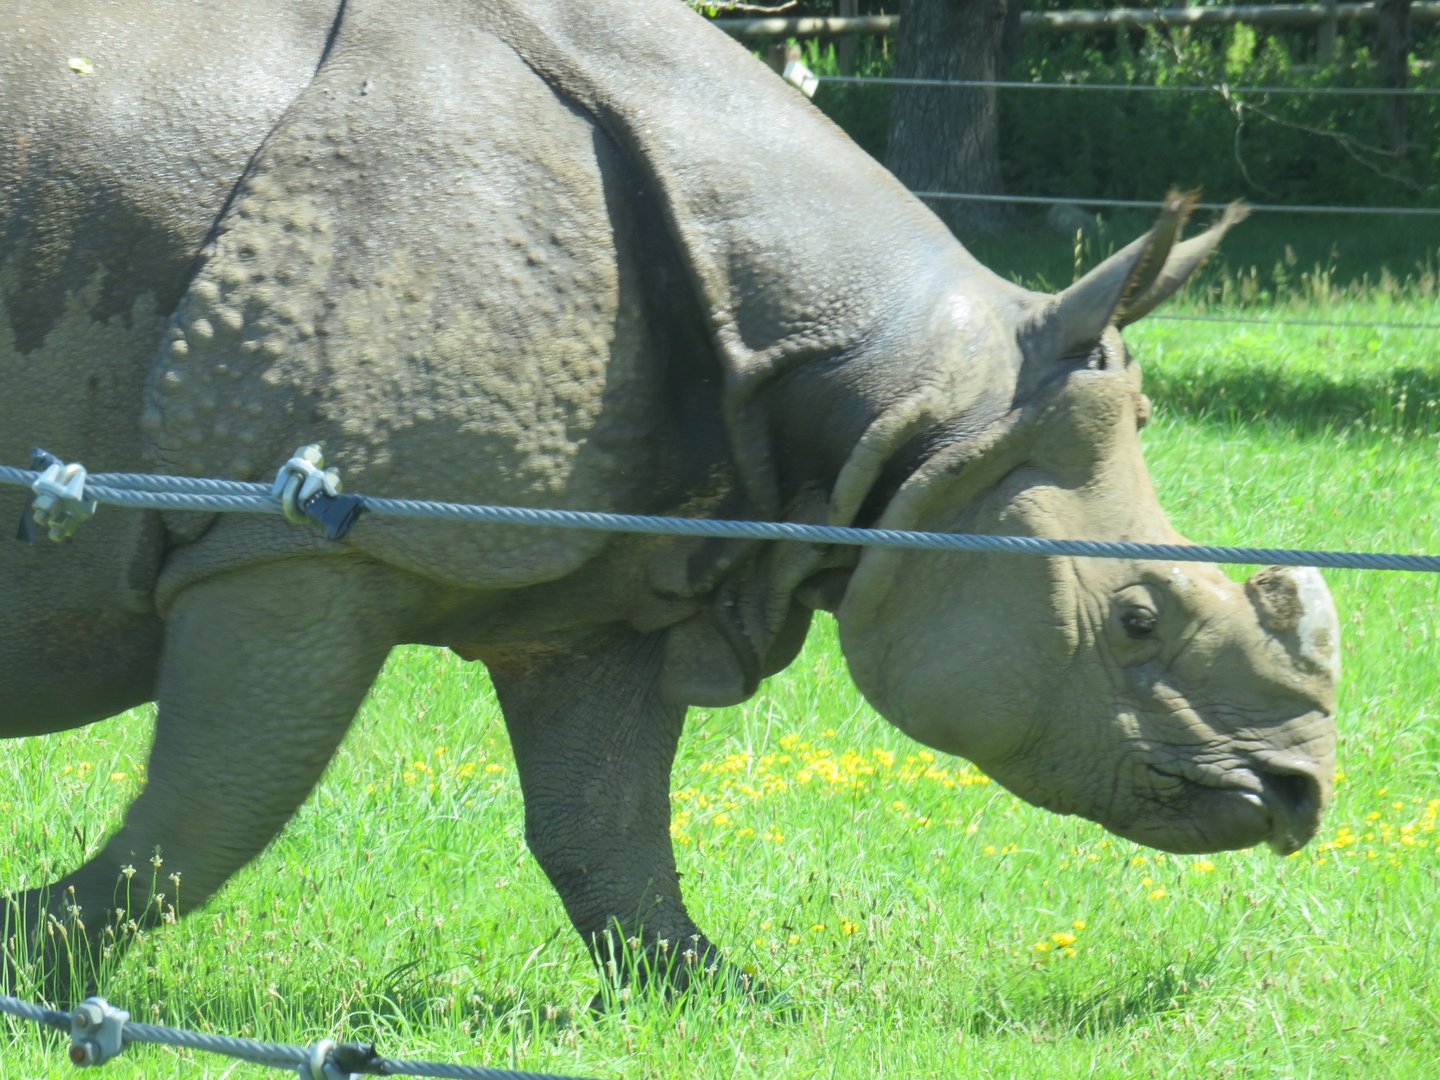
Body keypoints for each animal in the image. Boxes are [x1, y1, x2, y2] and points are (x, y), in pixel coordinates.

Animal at [1, 0, 1338, 1002]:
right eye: (1138, 621)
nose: (1298, 794)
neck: (910, 406)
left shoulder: (612, 568)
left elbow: (604, 820)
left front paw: (728, 1001)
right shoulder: (296, 538)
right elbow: (216, 804)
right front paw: (33, 957)